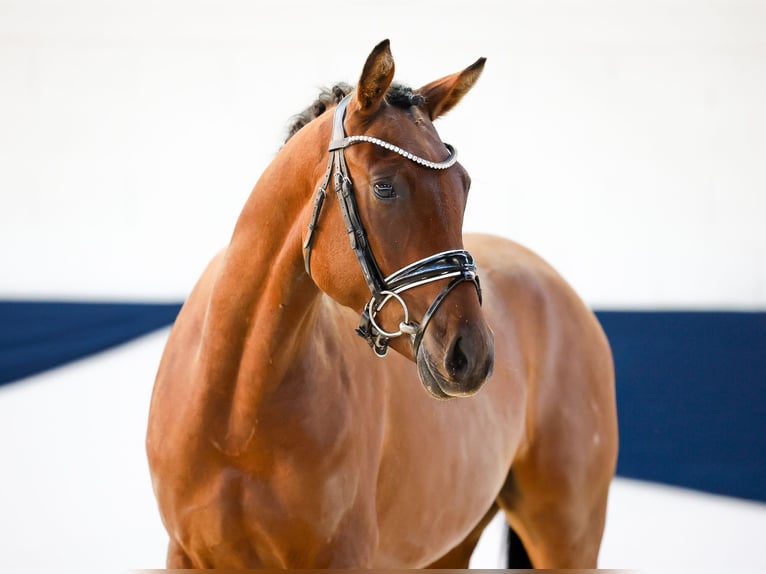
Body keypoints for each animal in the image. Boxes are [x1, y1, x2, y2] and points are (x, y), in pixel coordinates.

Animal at [147, 40, 620, 572]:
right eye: (384, 187)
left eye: (464, 186)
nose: (471, 355)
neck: (237, 414)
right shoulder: (185, 554)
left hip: (566, 534)